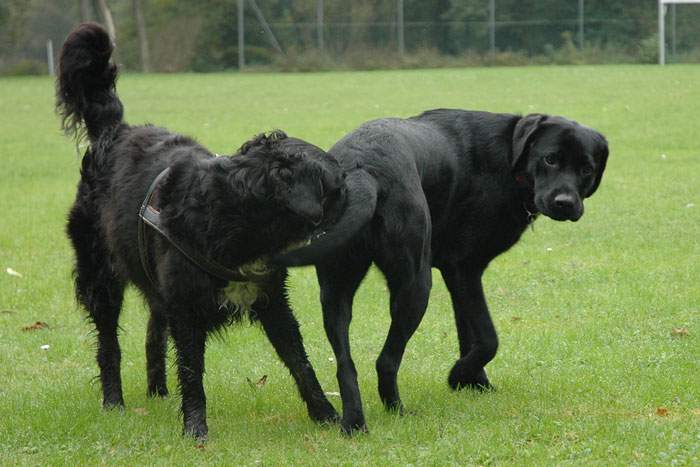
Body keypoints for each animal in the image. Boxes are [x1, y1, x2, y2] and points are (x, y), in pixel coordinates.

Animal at [56, 22, 350, 438]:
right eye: (338, 183)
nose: (358, 192)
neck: (233, 215)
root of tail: (115, 131)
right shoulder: (187, 309)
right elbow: (192, 371)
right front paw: (195, 428)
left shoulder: (272, 302)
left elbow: (300, 362)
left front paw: (326, 414)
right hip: (101, 278)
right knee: (109, 343)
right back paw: (114, 401)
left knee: (153, 332)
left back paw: (158, 391)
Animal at [276, 108, 608, 434]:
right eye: (550, 159)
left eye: (586, 169)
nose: (565, 203)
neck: (509, 158)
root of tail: (362, 169)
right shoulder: (465, 268)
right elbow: (488, 338)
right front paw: (458, 375)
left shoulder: (457, 274)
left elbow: (466, 333)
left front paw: (475, 383)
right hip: (415, 284)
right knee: (386, 360)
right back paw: (397, 410)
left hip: (336, 288)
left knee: (345, 363)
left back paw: (353, 423)